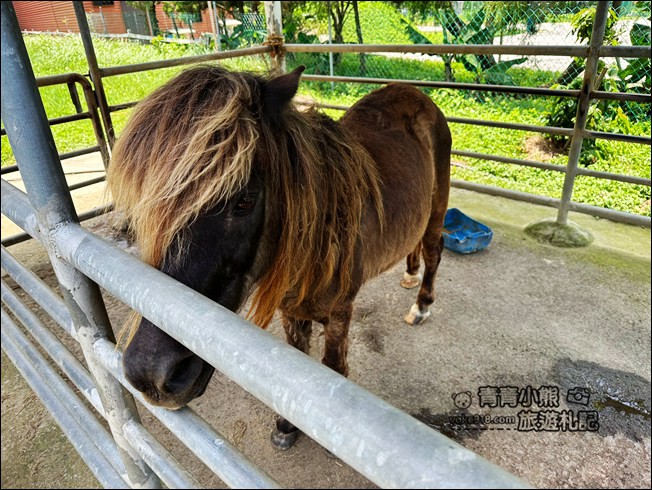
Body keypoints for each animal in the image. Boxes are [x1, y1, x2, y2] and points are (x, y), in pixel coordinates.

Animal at [107, 64, 451, 450]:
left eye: (244, 201)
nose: (149, 374)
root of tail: (414, 93)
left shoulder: (339, 315)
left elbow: (332, 367)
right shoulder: (291, 312)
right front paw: (288, 425)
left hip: (437, 209)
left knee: (434, 251)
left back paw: (422, 305)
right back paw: (409, 274)